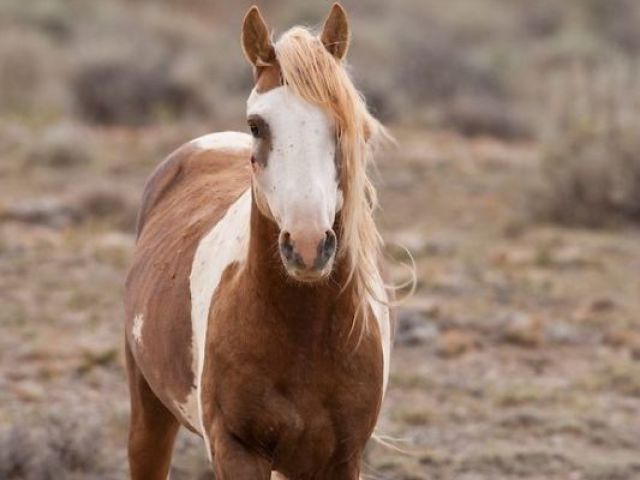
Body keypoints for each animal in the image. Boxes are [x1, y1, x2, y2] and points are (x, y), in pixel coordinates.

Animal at [124, 4, 396, 480]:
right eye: (257, 124)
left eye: (345, 126)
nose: (307, 245)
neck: (304, 334)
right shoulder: (237, 448)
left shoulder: (341, 458)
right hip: (148, 409)